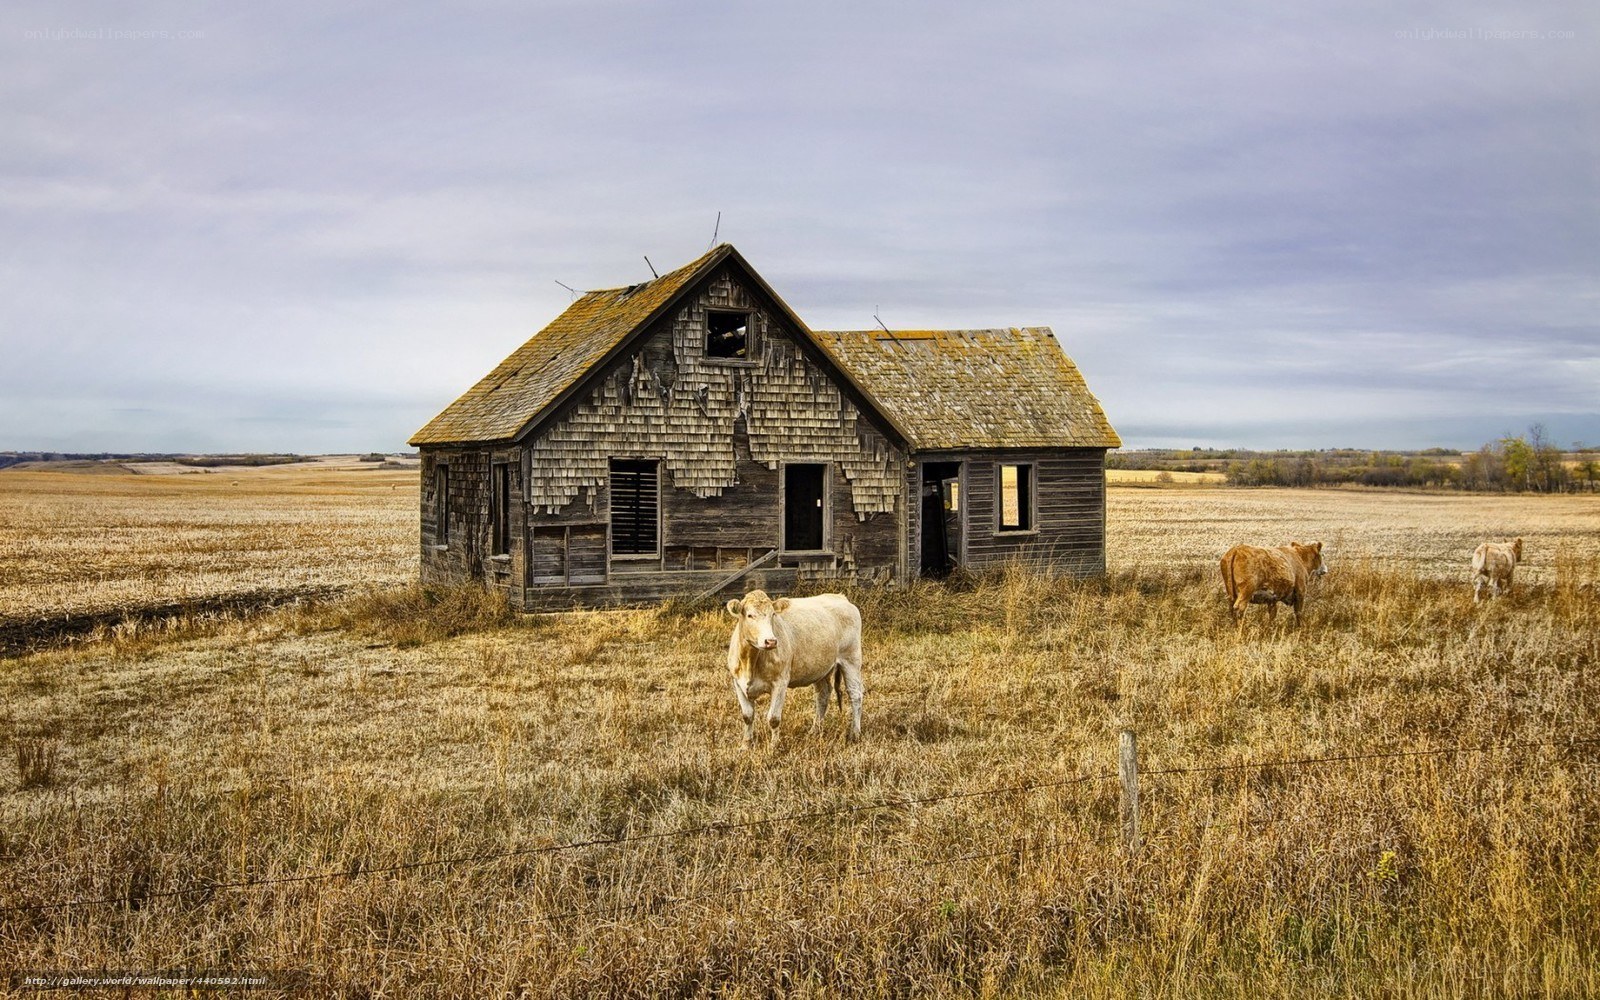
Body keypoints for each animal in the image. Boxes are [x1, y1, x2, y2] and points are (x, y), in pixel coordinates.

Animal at [725, 589, 863, 747]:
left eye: (773, 615)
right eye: (750, 615)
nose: (771, 641)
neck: (750, 662)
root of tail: (840, 597)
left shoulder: (780, 683)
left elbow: (773, 718)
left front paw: (774, 746)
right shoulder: (738, 683)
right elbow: (747, 716)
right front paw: (746, 745)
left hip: (851, 659)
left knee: (855, 695)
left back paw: (855, 734)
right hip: (820, 668)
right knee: (823, 695)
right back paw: (814, 731)